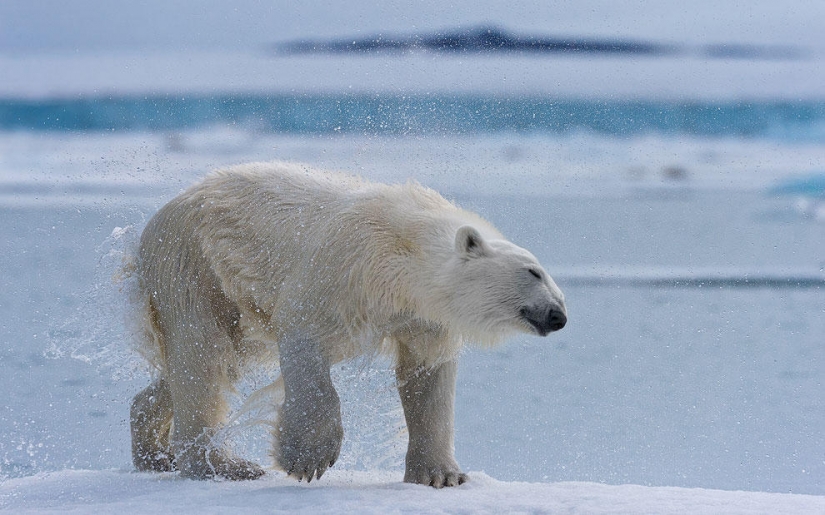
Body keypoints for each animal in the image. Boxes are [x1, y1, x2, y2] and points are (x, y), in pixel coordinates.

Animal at [130, 161, 566, 487]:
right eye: (533, 272)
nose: (559, 315)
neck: (403, 247)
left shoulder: (421, 315)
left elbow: (427, 378)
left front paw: (441, 475)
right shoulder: (342, 268)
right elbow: (304, 334)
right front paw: (307, 458)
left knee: (219, 361)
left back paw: (154, 450)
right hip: (194, 264)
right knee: (202, 354)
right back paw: (223, 465)